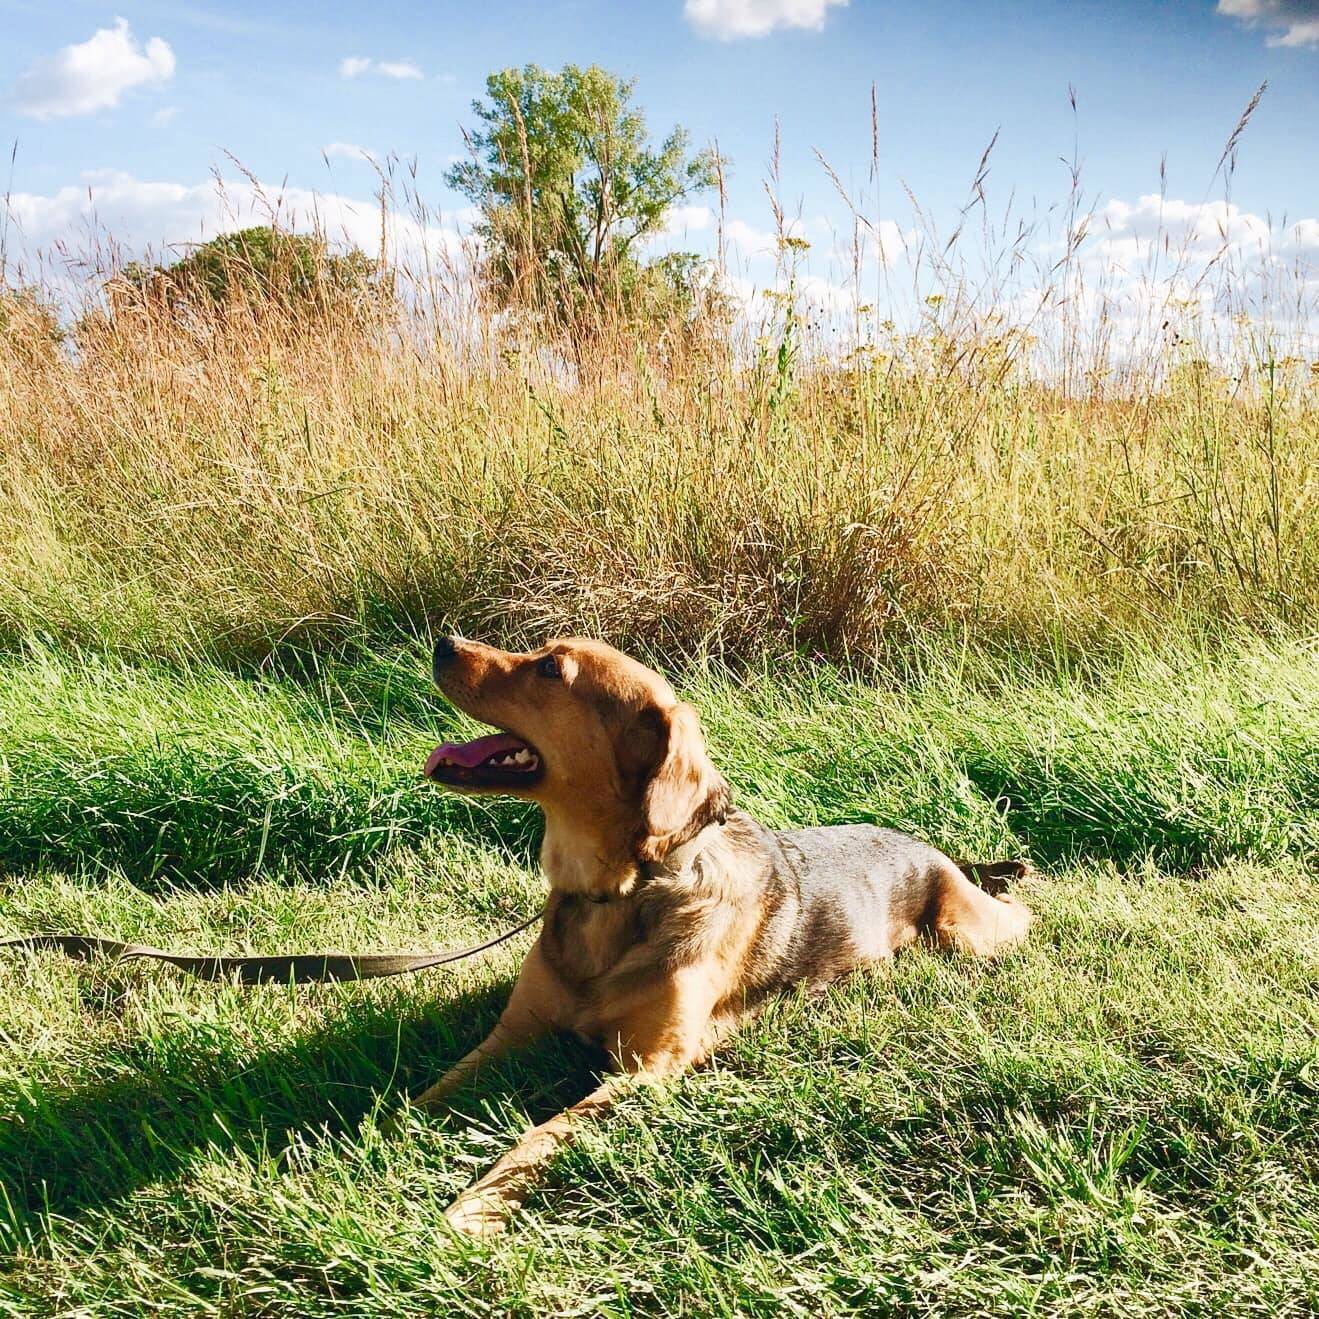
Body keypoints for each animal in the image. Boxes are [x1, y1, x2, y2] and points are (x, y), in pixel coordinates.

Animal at [403, 638, 1028, 1234]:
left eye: (552, 669)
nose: (444, 642)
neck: (622, 892)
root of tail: (929, 849)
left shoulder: (646, 1070)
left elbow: (542, 1136)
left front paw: (474, 1208)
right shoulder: (510, 1033)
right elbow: (428, 1092)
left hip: (965, 933)